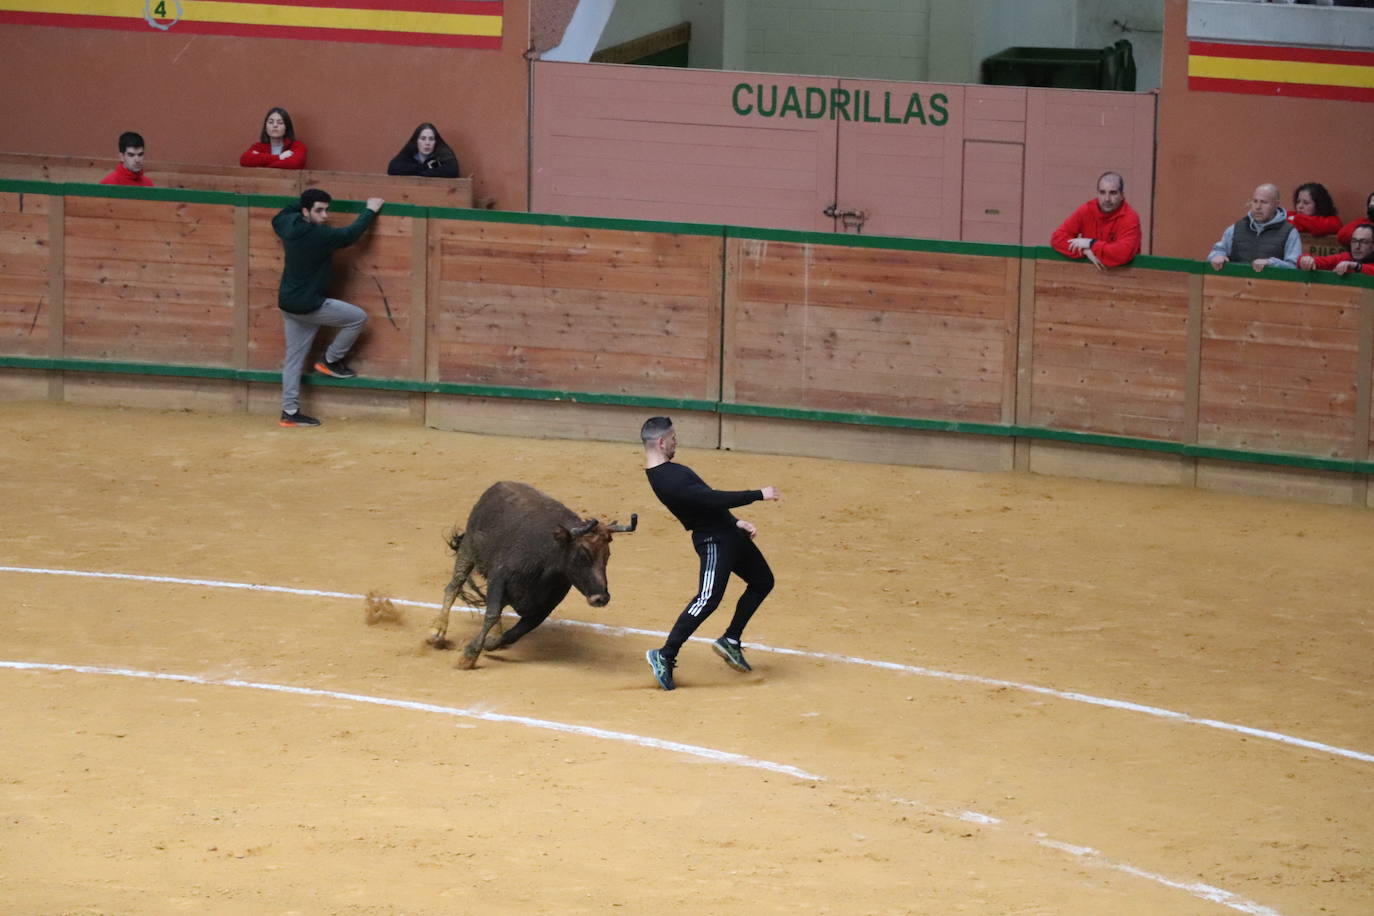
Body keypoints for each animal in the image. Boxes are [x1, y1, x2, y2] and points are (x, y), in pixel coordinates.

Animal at [423, 483, 637, 670]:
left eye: (607, 555)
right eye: (582, 555)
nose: (601, 598)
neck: (547, 558)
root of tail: (496, 487)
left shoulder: (545, 607)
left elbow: (514, 633)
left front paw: (491, 642)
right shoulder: (499, 578)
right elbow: (492, 614)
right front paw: (468, 657)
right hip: (468, 549)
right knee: (454, 586)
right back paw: (437, 631)